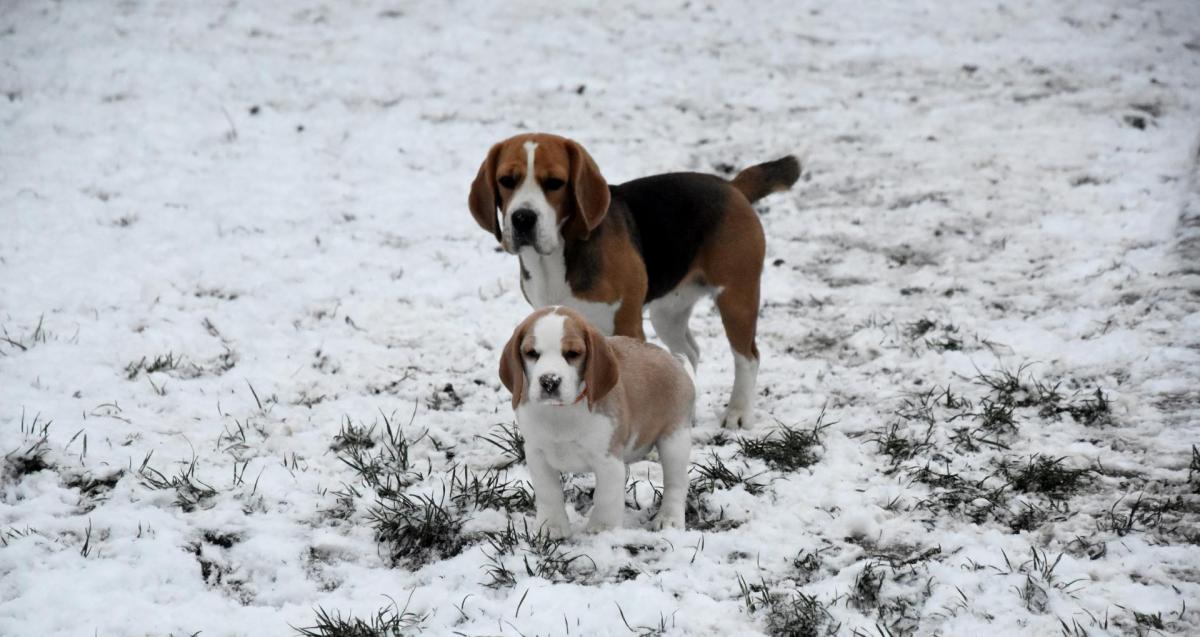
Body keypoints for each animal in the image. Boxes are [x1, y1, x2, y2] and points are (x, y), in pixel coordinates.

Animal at [468, 131, 796, 429]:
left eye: (554, 183)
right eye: (507, 180)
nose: (523, 218)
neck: (557, 257)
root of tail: (732, 187)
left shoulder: (626, 323)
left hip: (736, 297)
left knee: (748, 357)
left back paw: (737, 413)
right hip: (668, 313)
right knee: (689, 353)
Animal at [501, 307, 700, 535]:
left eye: (573, 353)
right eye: (531, 353)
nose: (549, 381)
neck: (561, 412)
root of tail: (679, 366)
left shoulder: (608, 460)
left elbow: (606, 496)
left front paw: (603, 530)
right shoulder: (536, 454)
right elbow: (548, 492)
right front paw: (551, 527)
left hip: (674, 441)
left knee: (677, 482)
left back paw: (669, 519)